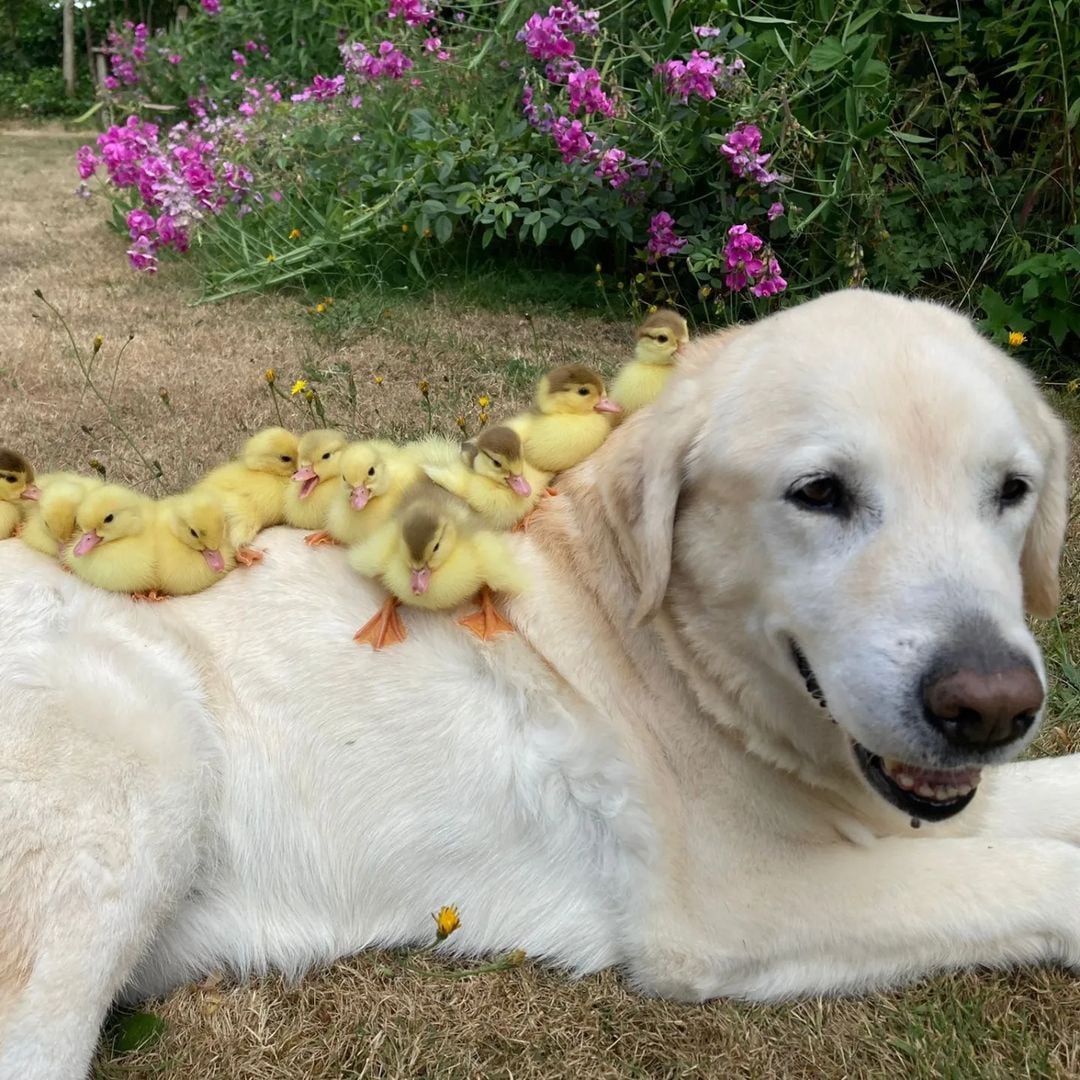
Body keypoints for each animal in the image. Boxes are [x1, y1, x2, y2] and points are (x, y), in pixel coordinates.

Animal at [2, 289, 1080, 1080]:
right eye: (820, 493)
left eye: (1011, 491)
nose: (991, 709)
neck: (670, 648)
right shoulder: (735, 907)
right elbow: (1043, 874)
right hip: (144, 770)